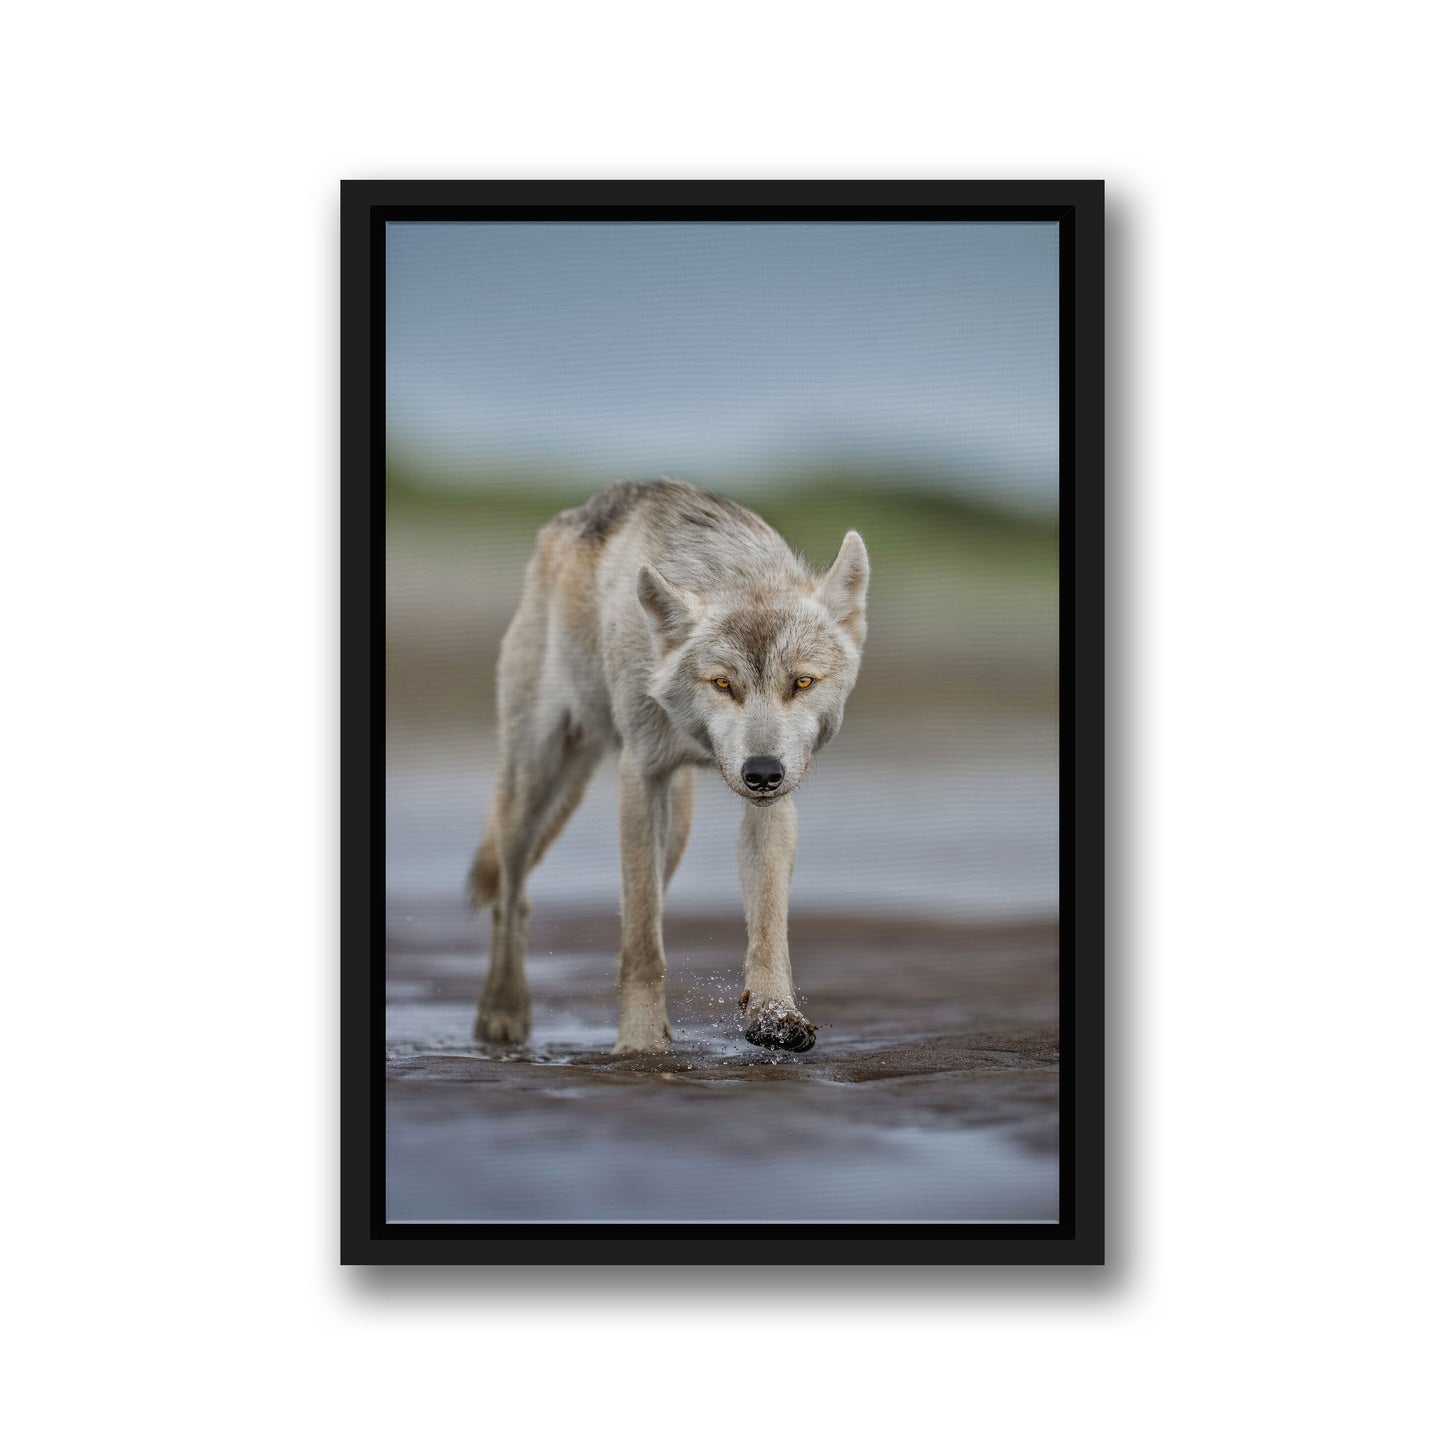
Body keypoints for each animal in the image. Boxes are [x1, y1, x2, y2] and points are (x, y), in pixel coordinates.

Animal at [468, 477, 869, 1055]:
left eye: (802, 682)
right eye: (722, 683)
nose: (761, 772)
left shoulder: (773, 803)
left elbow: (768, 923)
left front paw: (774, 1016)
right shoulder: (640, 777)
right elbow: (640, 945)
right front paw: (638, 1047)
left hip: (675, 824)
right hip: (533, 789)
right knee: (512, 897)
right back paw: (502, 1013)